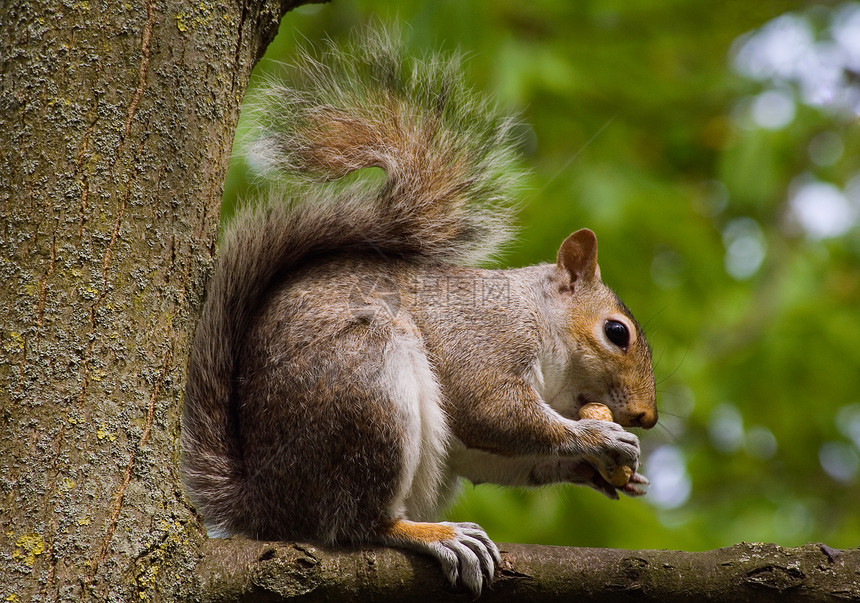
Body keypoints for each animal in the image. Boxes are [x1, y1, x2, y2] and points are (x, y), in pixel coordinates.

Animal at [178, 26, 656, 596]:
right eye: (616, 332)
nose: (647, 417)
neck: (538, 318)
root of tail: (266, 504)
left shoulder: (477, 440)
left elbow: (491, 454)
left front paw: (607, 469)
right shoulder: (484, 340)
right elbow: (493, 412)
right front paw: (597, 437)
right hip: (366, 389)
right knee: (353, 523)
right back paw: (432, 533)